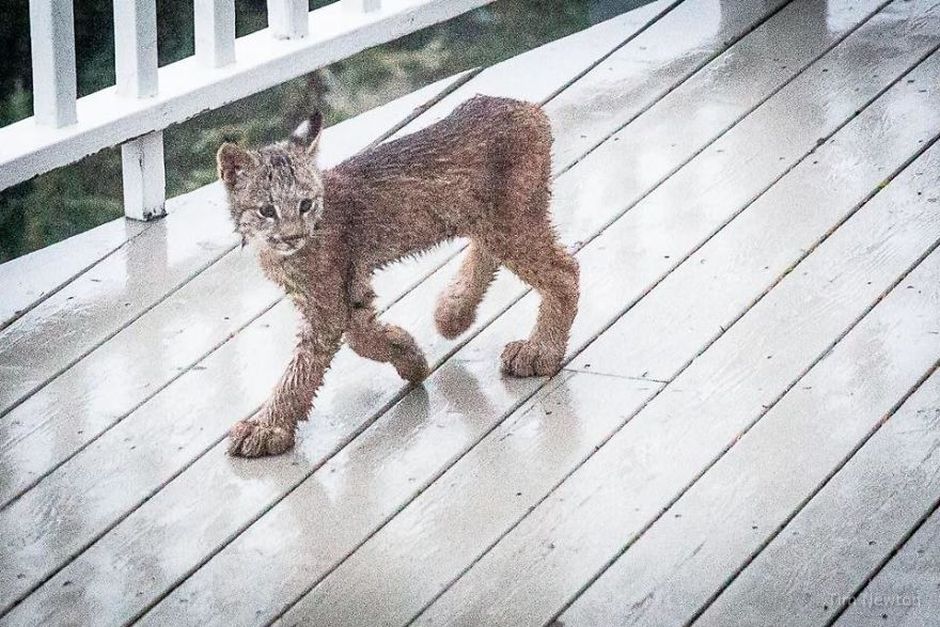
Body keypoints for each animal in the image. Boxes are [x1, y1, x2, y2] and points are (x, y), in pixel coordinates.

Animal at [218, 95, 580, 458]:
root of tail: (523, 105)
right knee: (491, 250)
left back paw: (540, 350)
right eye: (267, 210)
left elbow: (302, 369)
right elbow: (360, 337)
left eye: (305, 204)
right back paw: (454, 311)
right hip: (488, 217)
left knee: (565, 271)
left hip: (507, 220)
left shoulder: (326, 304)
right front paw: (407, 352)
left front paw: (268, 427)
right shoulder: (348, 285)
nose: (293, 236)